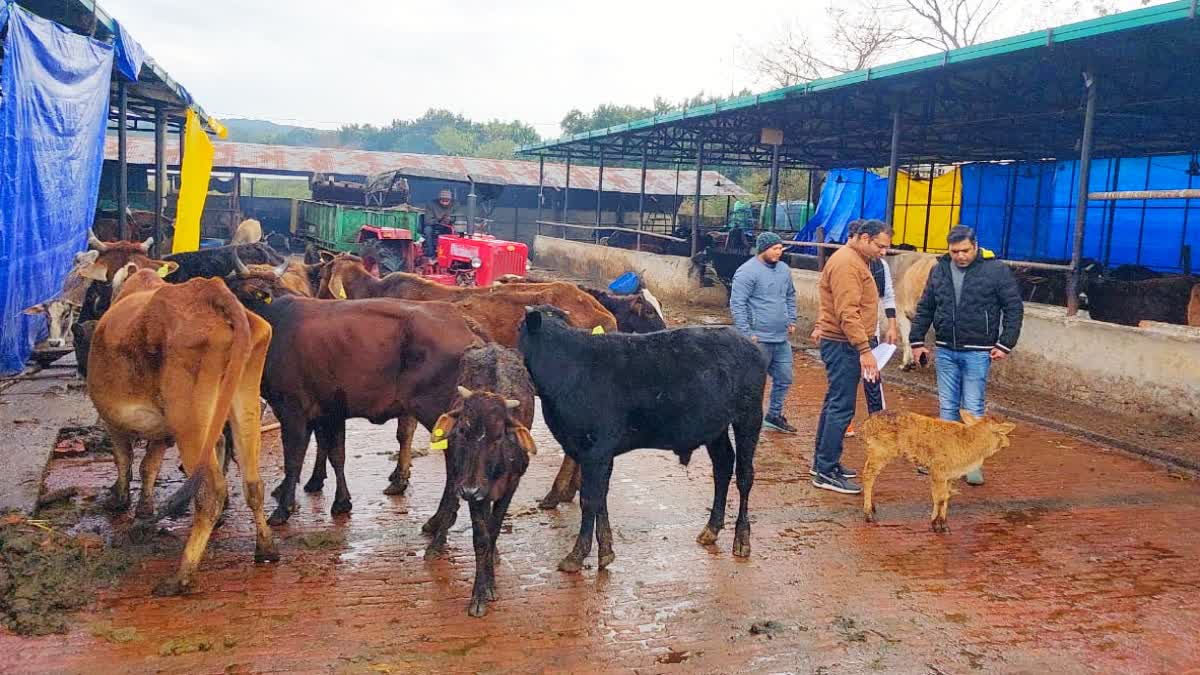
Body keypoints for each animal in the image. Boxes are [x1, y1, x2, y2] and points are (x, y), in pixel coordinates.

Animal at [87, 265, 277, 590]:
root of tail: (213, 292)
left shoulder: (112, 421)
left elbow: (124, 459)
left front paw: (119, 499)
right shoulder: (163, 431)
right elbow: (149, 465)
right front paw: (143, 507)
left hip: (189, 419)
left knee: (210, 492)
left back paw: (182, 575)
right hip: (245, 396)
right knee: (253, 483)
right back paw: (265, 549)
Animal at [518, 307, 763, 569]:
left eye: (518, 328)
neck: (567, 367)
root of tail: (746, 341)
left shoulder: (595, 451)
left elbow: (590, 499)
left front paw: (576, 555)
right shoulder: (597, 453)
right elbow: (600, 497)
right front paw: (606, 549)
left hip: (749, 416)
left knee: (744, 476)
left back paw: (742, 540)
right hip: (715, 428)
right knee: (722, 467)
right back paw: (711, 530)